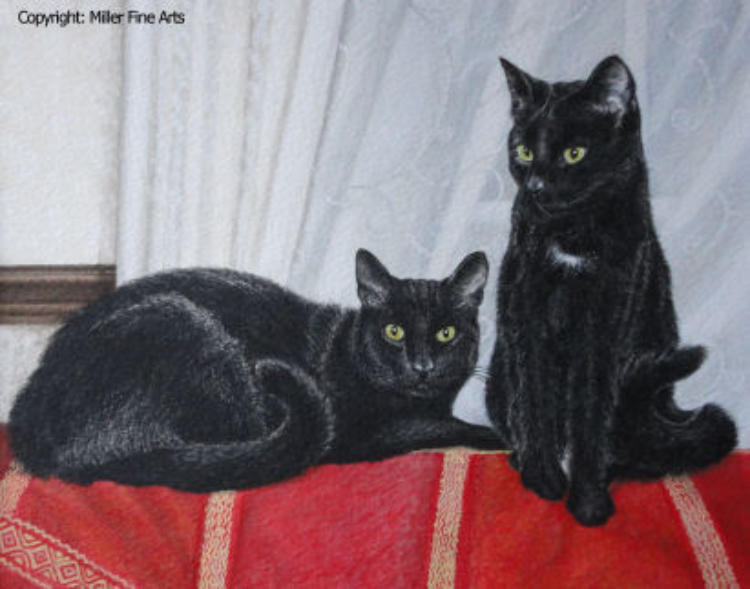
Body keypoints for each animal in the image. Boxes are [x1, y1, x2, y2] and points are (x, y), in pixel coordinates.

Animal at [10, 249, 506, 492]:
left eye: (445, 334)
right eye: (394, 331)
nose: (421, 366)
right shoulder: (354, 436)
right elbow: (434, 425)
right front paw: (496, 435)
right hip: (185, 325)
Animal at [485, 56, 737, 526]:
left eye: (574, 153)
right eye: (524, 152)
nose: (536, 187)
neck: (573, 235)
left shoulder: (606, 326)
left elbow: (590, 415)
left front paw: (588, 504)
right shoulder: (526, 315)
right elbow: (537, 402)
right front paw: (543, 480)